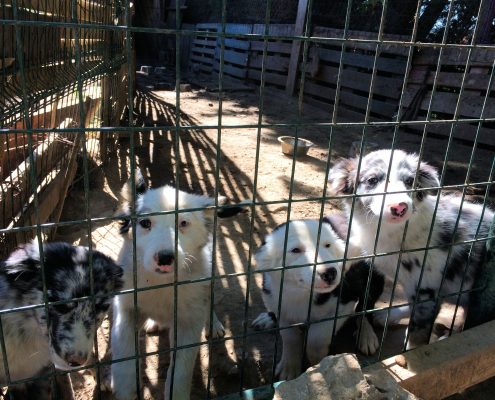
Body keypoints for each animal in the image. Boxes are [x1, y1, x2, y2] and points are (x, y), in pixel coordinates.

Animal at [252, 217, 384, 380]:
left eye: (328, 245)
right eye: (295, 250)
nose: (330, 273)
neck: (301, 292)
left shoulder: (345, 302)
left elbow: (316, 339)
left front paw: (318, 365)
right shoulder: (280, 306)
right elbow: (290, 337)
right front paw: (289, 367)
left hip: (374, 275)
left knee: (366, 306)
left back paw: (366, 334)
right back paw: (268, 318)